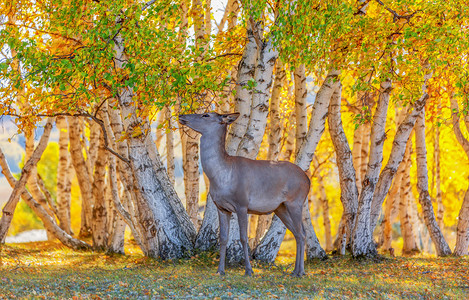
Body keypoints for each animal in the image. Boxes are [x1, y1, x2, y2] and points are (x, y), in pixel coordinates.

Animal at [177, 112, 308, 276]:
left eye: (206, 115)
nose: (181, 116)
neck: (222, 177)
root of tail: (308, 180)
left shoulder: (242, 203)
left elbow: (243, 237)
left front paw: (248, 270)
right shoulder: (221, 207)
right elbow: (223, 238)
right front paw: (220, 270)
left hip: (295, 201)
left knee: (301, 233)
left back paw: (300, 272)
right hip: (281, 207)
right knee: (298, 233)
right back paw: (295, 271)